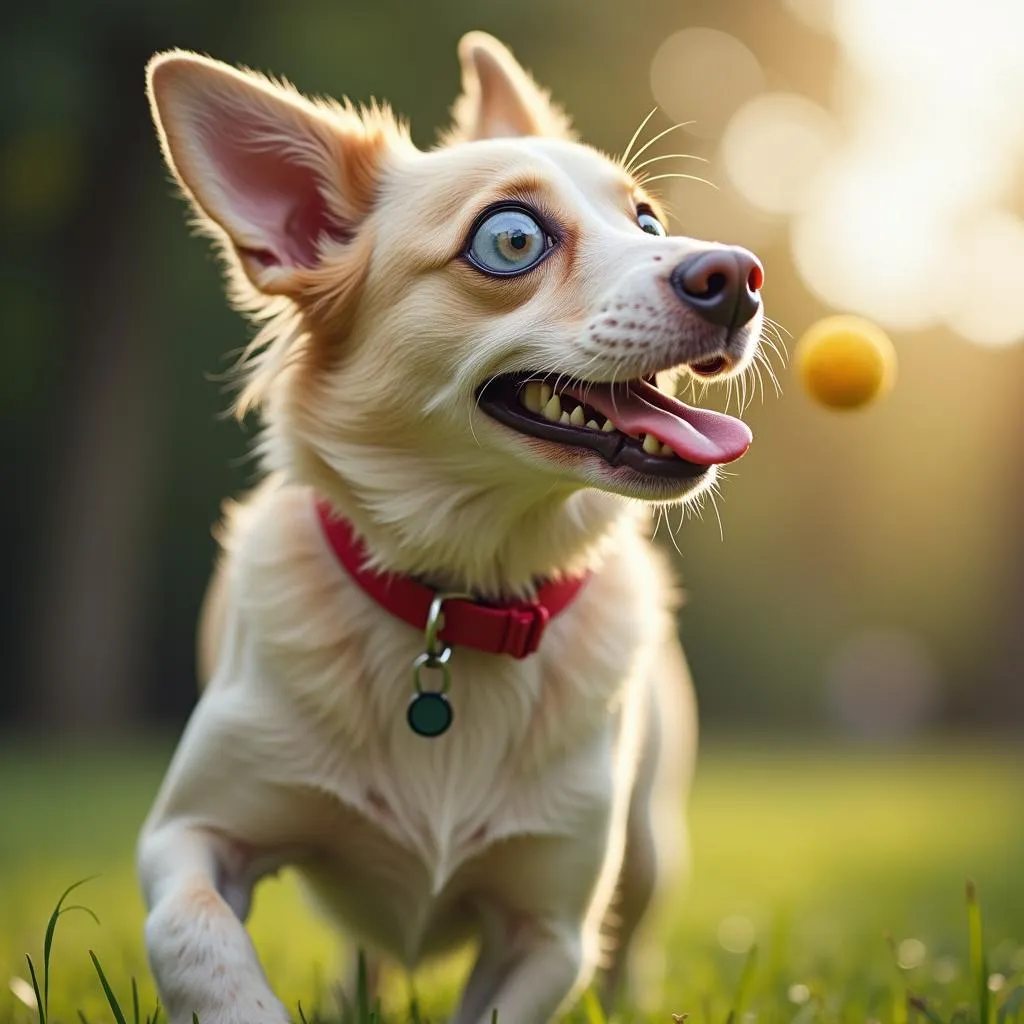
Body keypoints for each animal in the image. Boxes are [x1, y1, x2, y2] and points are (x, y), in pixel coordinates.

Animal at [136, 29, 765, 1024]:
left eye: (648, 222)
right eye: (511, 239)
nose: (736, 273)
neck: (459, 596)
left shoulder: (548, 931)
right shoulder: (189, 833)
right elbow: (193, 936)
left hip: (650, 847)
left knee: (633, 937)